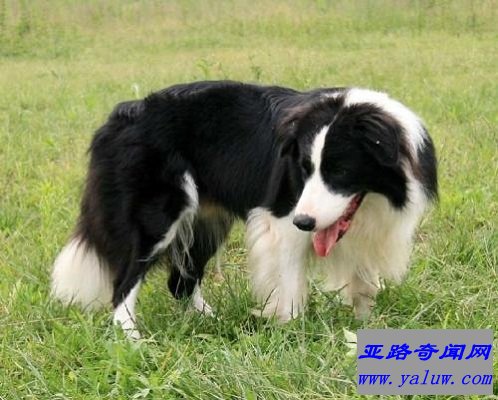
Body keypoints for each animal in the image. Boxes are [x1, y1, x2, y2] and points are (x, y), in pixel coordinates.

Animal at [51, 81, 437, 338]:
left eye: (340, 172)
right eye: (304, 170)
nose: (305, 221)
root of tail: (121, 115)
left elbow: (363, 283)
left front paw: (363, 327)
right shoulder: (282, 215)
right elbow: (289, 281)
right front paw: (291, 332)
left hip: (208, 218)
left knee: (181, 280)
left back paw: (212, 322)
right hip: (157, 210)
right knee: (124, 280)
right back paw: (132, 340)